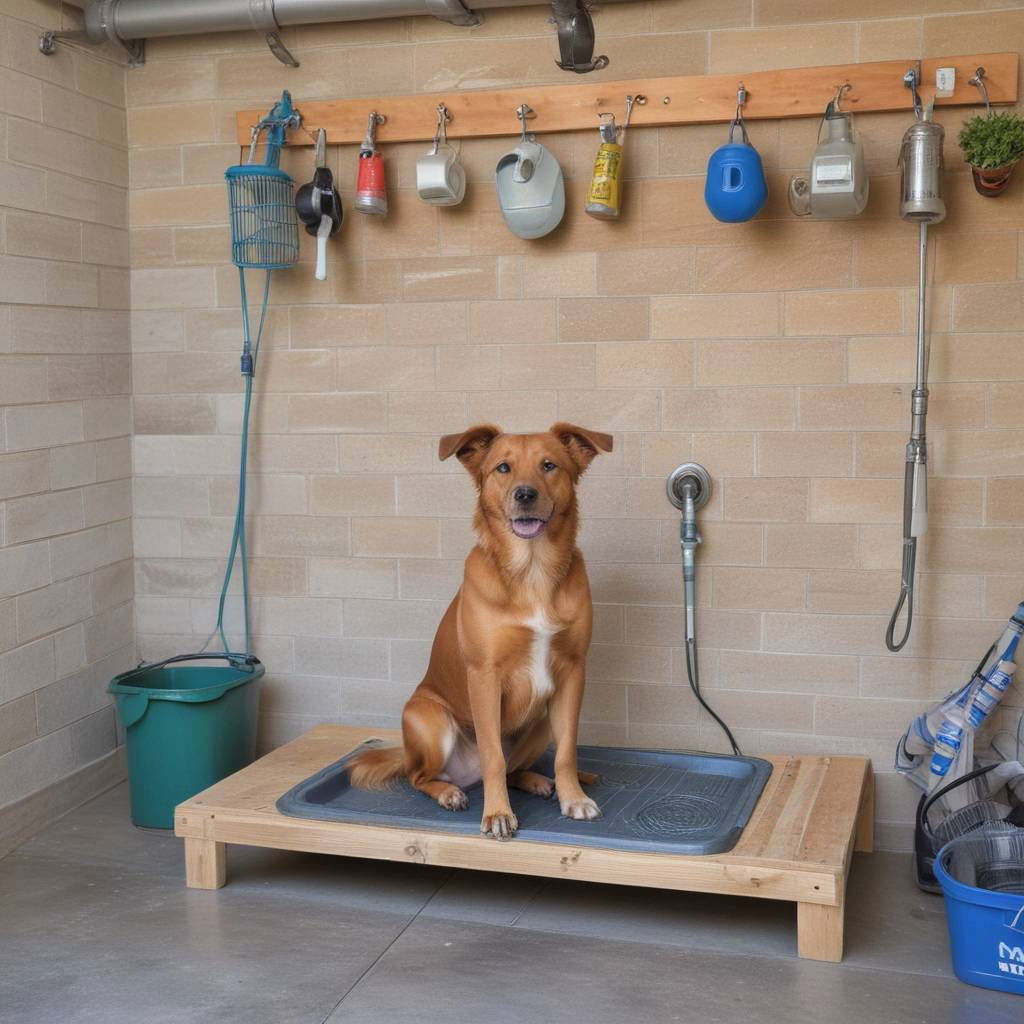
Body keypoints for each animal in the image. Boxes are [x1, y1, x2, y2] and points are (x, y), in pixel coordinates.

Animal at [348, 421, 610, 839]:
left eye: (549, 465)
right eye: (503, 468)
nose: (525, 494)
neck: (532, 571)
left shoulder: (572, 672)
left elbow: (566, 751)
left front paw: (574, 798)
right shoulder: (484, 676)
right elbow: (493, 757)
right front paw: (498, 813)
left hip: (540, 721)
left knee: (517, 767)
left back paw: (538, 781)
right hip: (428, 719)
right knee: (418, 776)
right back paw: (448, 792)